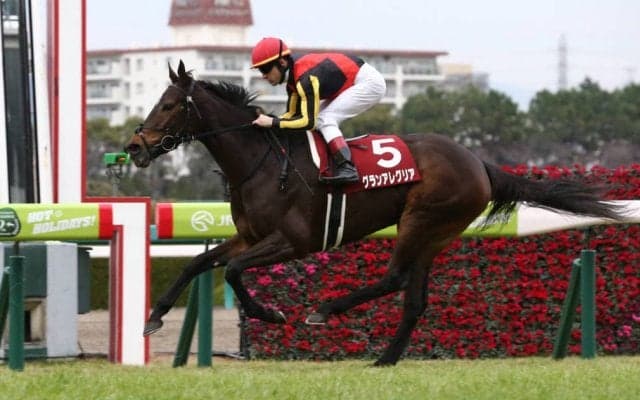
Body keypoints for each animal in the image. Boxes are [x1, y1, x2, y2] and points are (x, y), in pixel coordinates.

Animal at [124, 61, 621, 366]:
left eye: (169, 104)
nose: (134, 146)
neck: (261, 162)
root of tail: (479, 163)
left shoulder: (293, 241)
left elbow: (231, 272)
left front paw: (273, 314)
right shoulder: (249, 236)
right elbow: (197, 263)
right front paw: (154, 317)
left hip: (420, 221)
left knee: (395, 278)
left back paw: (326, 310)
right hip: (436, 233)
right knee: (415, 299)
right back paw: (385, 358)